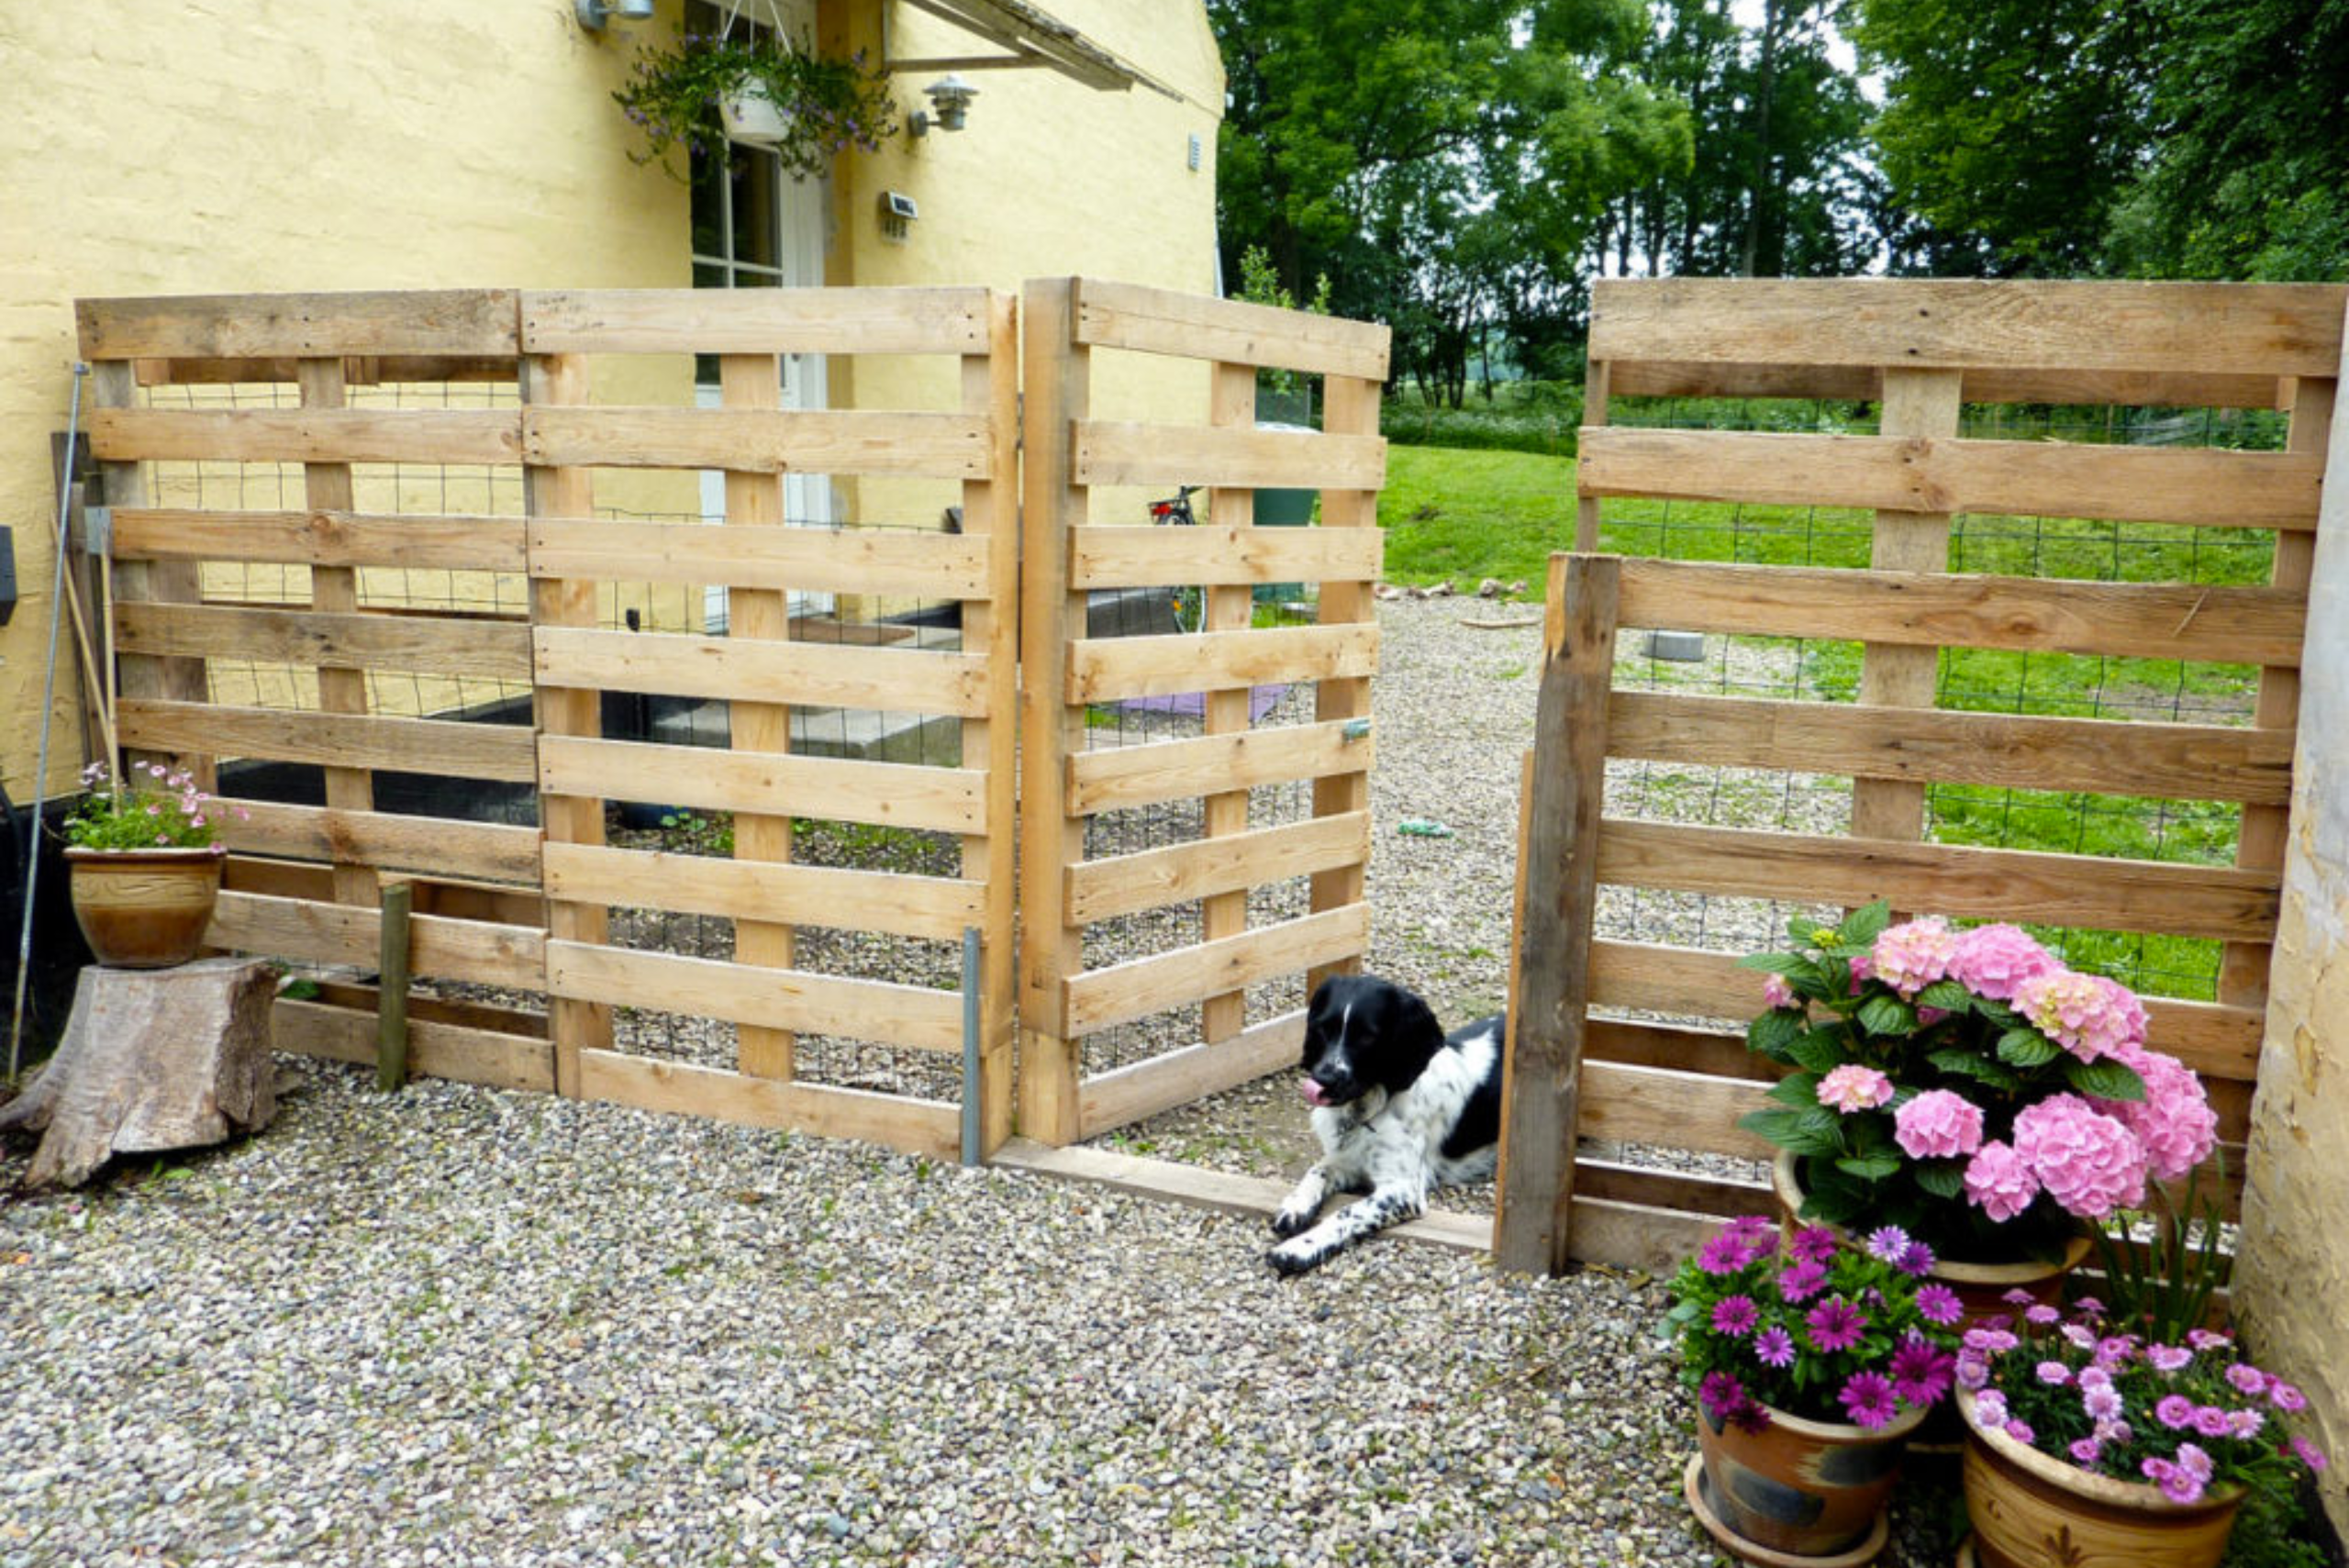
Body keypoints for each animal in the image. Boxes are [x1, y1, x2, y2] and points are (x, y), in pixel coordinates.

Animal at [1268, 981, 1503, 1276]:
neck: (1371, 1107)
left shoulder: (1403, 1189)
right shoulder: (1346, 1159)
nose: (1323, 1079)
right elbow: (1317, 1170)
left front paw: (1300, 1247)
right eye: (1323, 1028)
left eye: (1367, 1037)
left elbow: (1346, 1212)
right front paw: (1296, 1204)